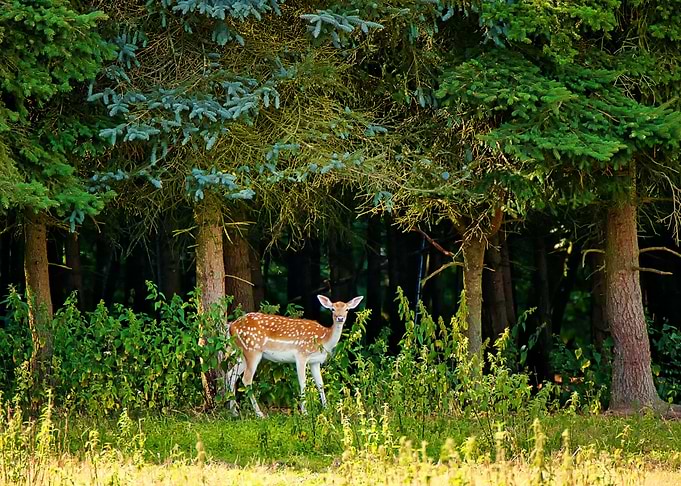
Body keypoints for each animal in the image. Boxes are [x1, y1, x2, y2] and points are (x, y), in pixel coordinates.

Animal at [224, 295, 364, 418]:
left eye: (347, 309)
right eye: (332, 309)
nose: (340, 318)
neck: (324, 339)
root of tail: (231, 326)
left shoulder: (315, 361)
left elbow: (320, 384)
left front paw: (326, 409)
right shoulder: (301, 355)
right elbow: (303, 382)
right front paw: (305, 412)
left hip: (242, 353)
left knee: (230, 374)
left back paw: (234, 412)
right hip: (252, 350)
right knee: (246, 379)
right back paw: (259, 414)